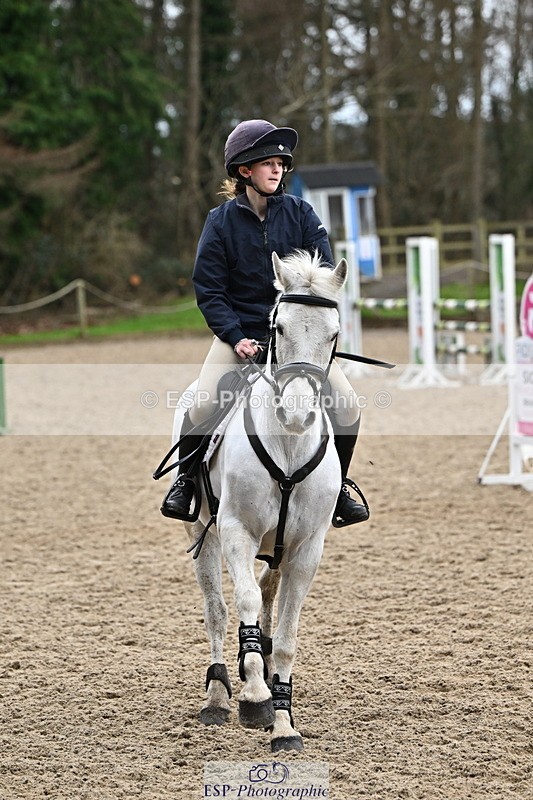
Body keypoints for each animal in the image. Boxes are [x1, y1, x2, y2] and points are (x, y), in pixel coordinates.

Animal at [171, 250, 348, 752]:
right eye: (279, 327)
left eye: (334, 334)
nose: (298, 413)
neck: (287, 444)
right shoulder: (236, 532)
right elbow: (245, 600)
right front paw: (254, 697)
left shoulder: (307, 549)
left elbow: (286, 635)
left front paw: (284, 723)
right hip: (202, 532)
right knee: (217, 610)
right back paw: (218, 696)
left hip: (280, 546)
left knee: (268, 589)